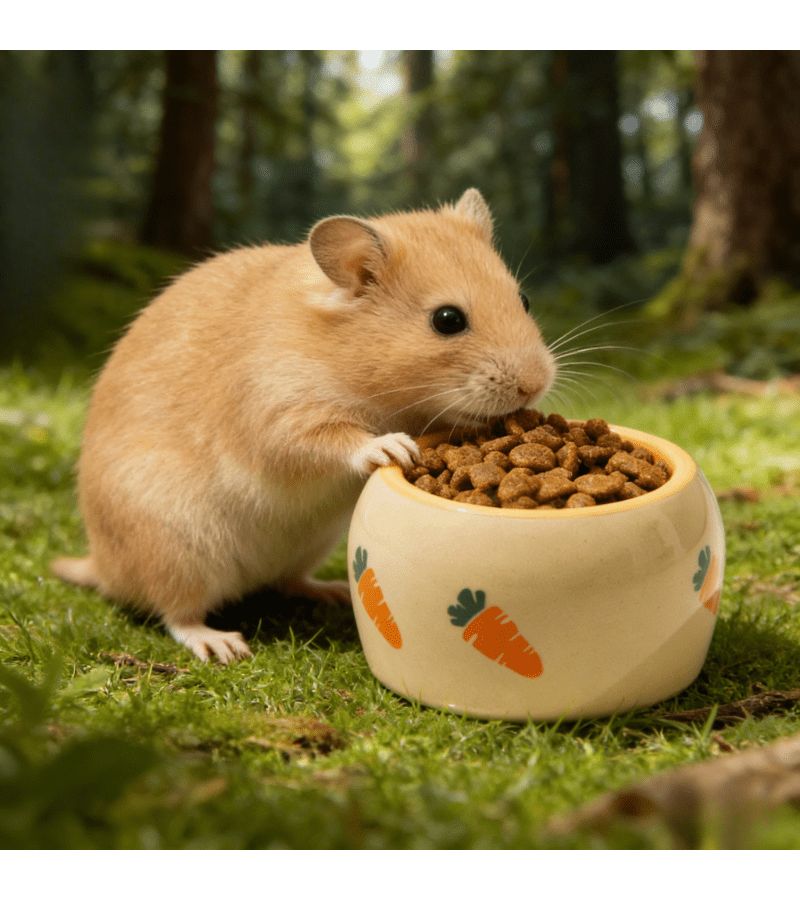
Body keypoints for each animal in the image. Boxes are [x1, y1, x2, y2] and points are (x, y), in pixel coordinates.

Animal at [52, 189, 556, 662]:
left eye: (524, 299)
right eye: (447, 320)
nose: (534, 386)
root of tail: (102, 565)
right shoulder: (281, 417)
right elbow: (333, 440)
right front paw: (394, 448)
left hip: (308, 543)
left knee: (286, 581)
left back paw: (332, 592)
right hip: (177, 551)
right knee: (176, 614)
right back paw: (221, 645)